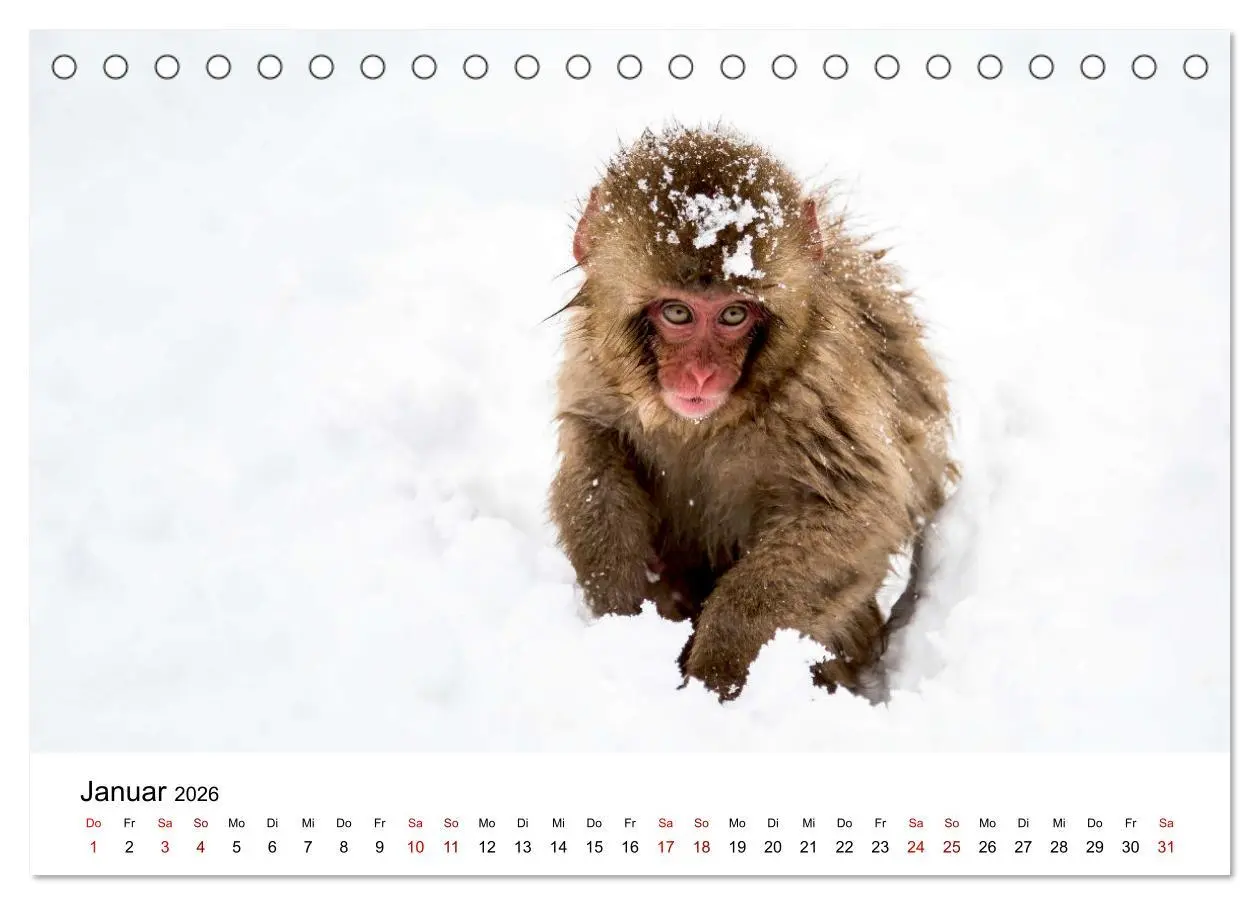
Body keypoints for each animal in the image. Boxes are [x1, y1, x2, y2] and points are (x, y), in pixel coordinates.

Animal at [548, 125, 956, 702]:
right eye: (678, 312)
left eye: (734, 314)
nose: (700, 376)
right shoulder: (597, 369)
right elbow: (593, 449)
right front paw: (621, 611)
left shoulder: (822, 389)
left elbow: (857, 511)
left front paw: (717, 667)